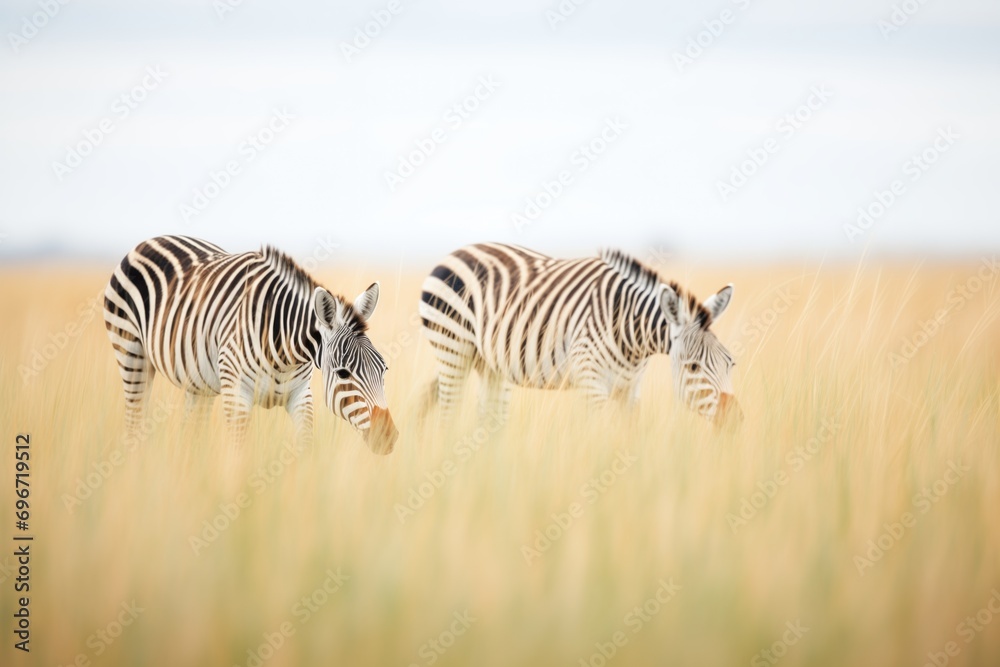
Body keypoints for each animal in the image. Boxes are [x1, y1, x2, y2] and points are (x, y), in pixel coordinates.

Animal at [103, 235, 398, 453]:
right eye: (343, 373)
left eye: (383, 370)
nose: (388, 437)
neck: (285, 351)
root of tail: (151, 240)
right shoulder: (237, 397)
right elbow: (238, 456)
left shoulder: (301, 397)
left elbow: (305, 449)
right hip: (132, 355)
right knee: (134, 420)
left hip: (198, 382)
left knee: (192, 431)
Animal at [418, 243, 742, 426]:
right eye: (693, 367)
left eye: (731, 363)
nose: (732, 421)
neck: (630, 332)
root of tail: (457, 252)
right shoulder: (591, 383)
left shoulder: (630, 389)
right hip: (452, 348)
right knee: (448, 414)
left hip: (490, 364)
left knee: (490, 419)